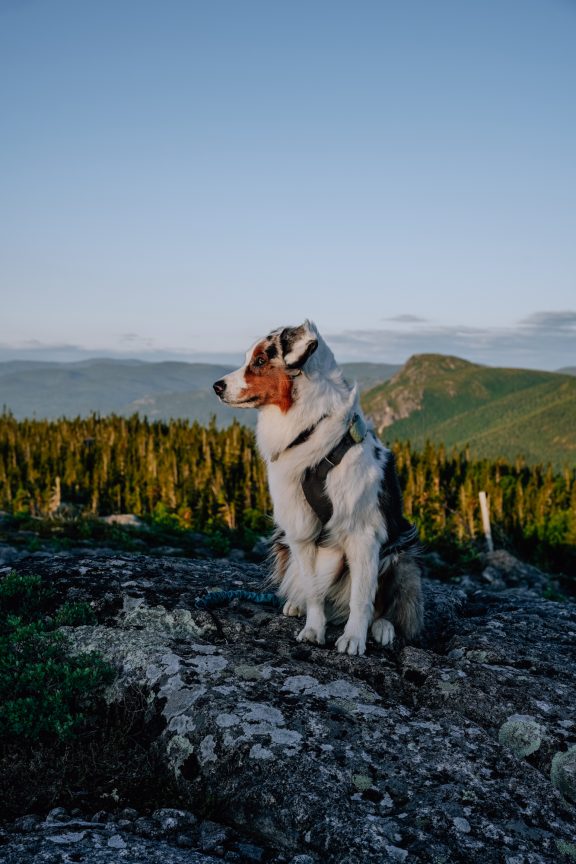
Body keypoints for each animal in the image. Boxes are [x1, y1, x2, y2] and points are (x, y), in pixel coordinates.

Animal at [213, 318, 424, 656]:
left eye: (260, 360)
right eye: (248, 358)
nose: (217, 386)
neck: (308, 427)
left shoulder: (363, 533)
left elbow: (362, 597)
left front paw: (353, 638)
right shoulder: (298, 528)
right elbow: (314, 590)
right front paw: (313, 629)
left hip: (402, 558)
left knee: (386, 604)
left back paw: (383, 628)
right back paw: (296, 605)